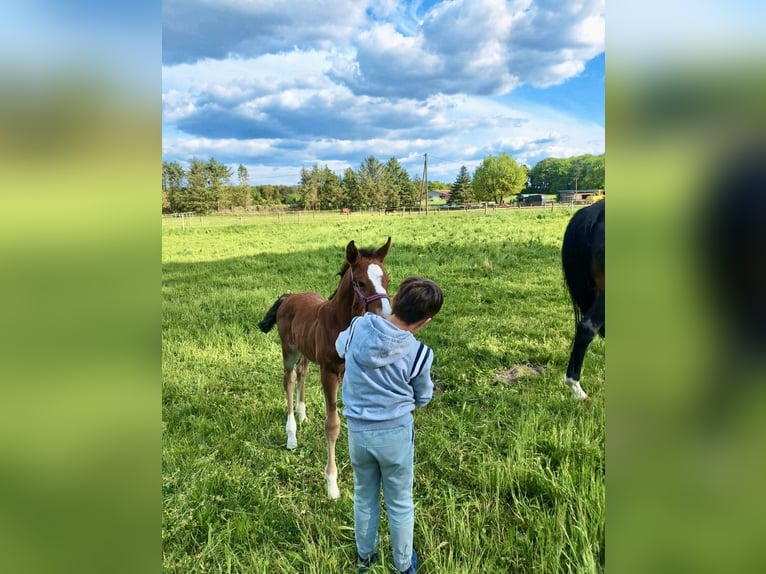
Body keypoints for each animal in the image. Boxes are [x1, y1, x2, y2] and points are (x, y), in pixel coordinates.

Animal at [258, 237, 392, 499]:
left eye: (387, 280)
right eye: (360, 283)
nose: (386, 316)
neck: (341, 324)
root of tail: (289, 296)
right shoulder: (329, 373)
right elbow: (333, 424)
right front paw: (332, 484)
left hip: (306, 350)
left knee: (302, 372)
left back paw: (302, 413)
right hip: (289, 350)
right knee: (289, 379)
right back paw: (291, 435)